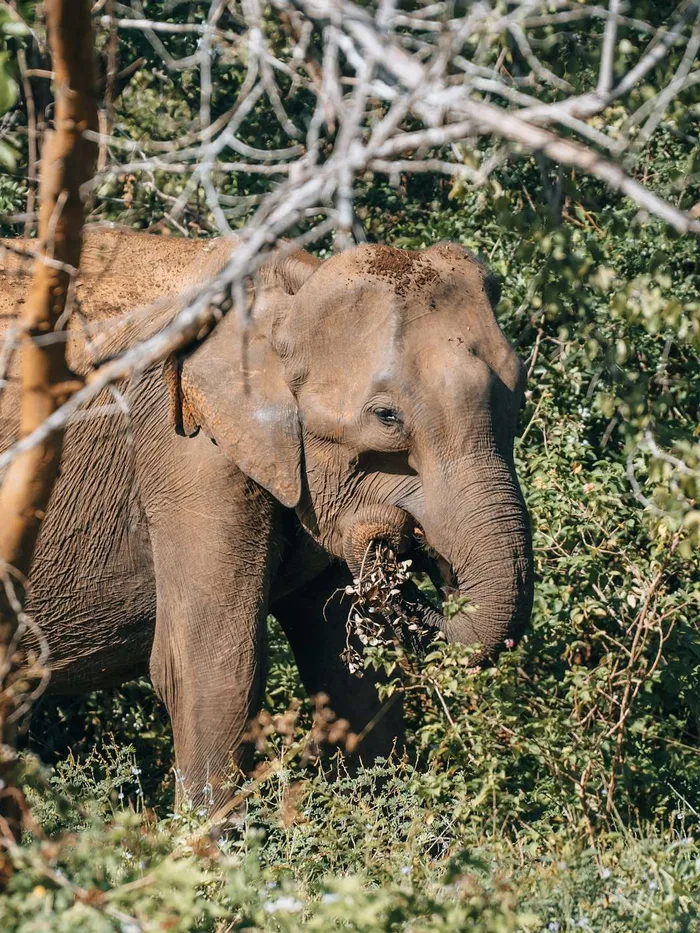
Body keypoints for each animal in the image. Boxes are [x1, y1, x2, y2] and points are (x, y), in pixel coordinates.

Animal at [0, 228, 533, 810]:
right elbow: (211, 668)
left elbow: (350, 678)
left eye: (519, 399)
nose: (392, 539)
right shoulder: (186, 446)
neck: (286, 297)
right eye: (387, 418)